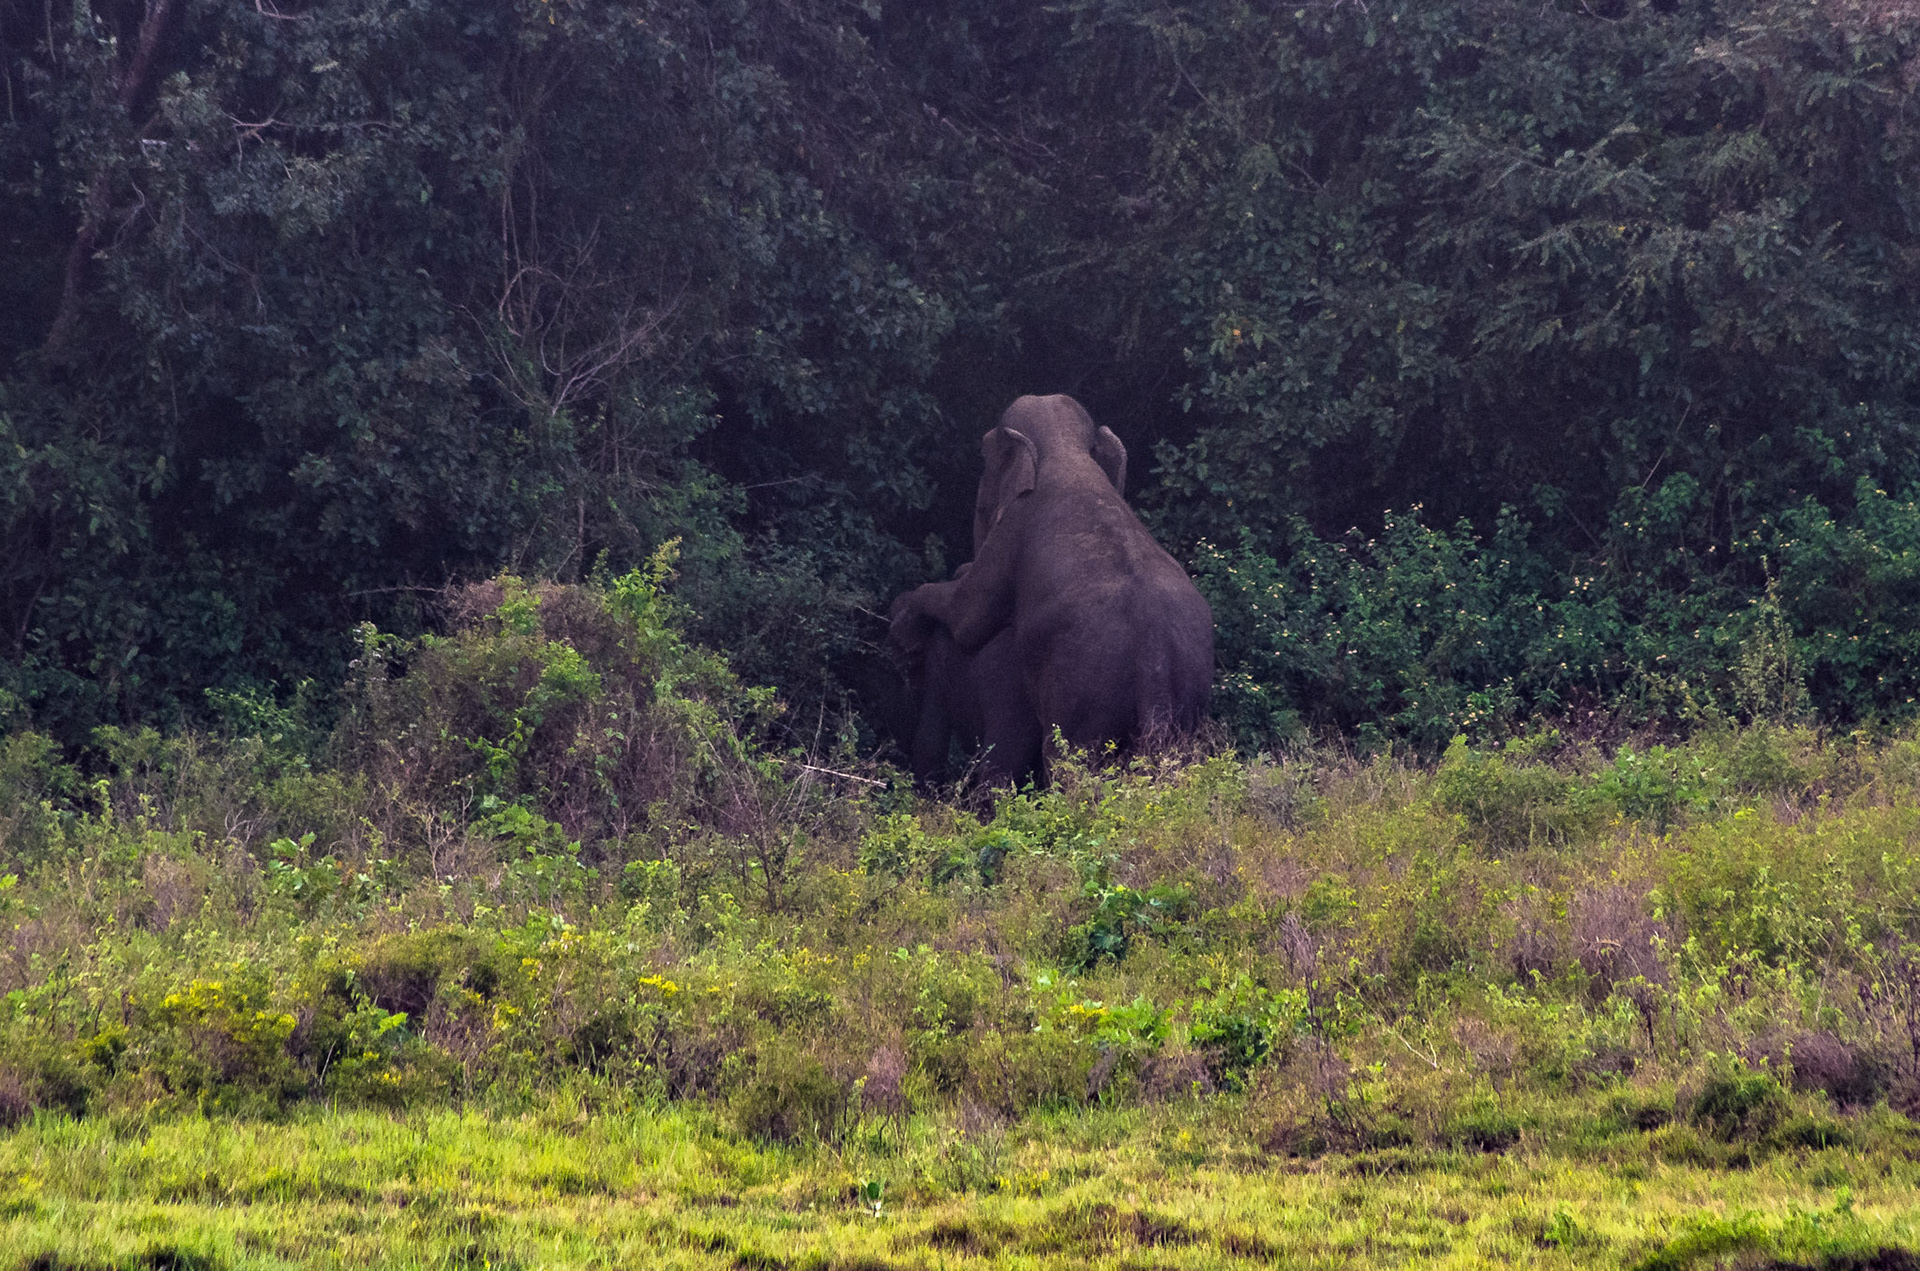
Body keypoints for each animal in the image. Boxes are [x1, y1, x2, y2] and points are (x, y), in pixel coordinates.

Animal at [890, 394, 1213, 776]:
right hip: (1188, 698)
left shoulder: (1013, 526)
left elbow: (968, 618)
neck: (1065, 452)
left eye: (984, 455)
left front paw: (903, 625)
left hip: (1082, 694)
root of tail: (1155, 663)